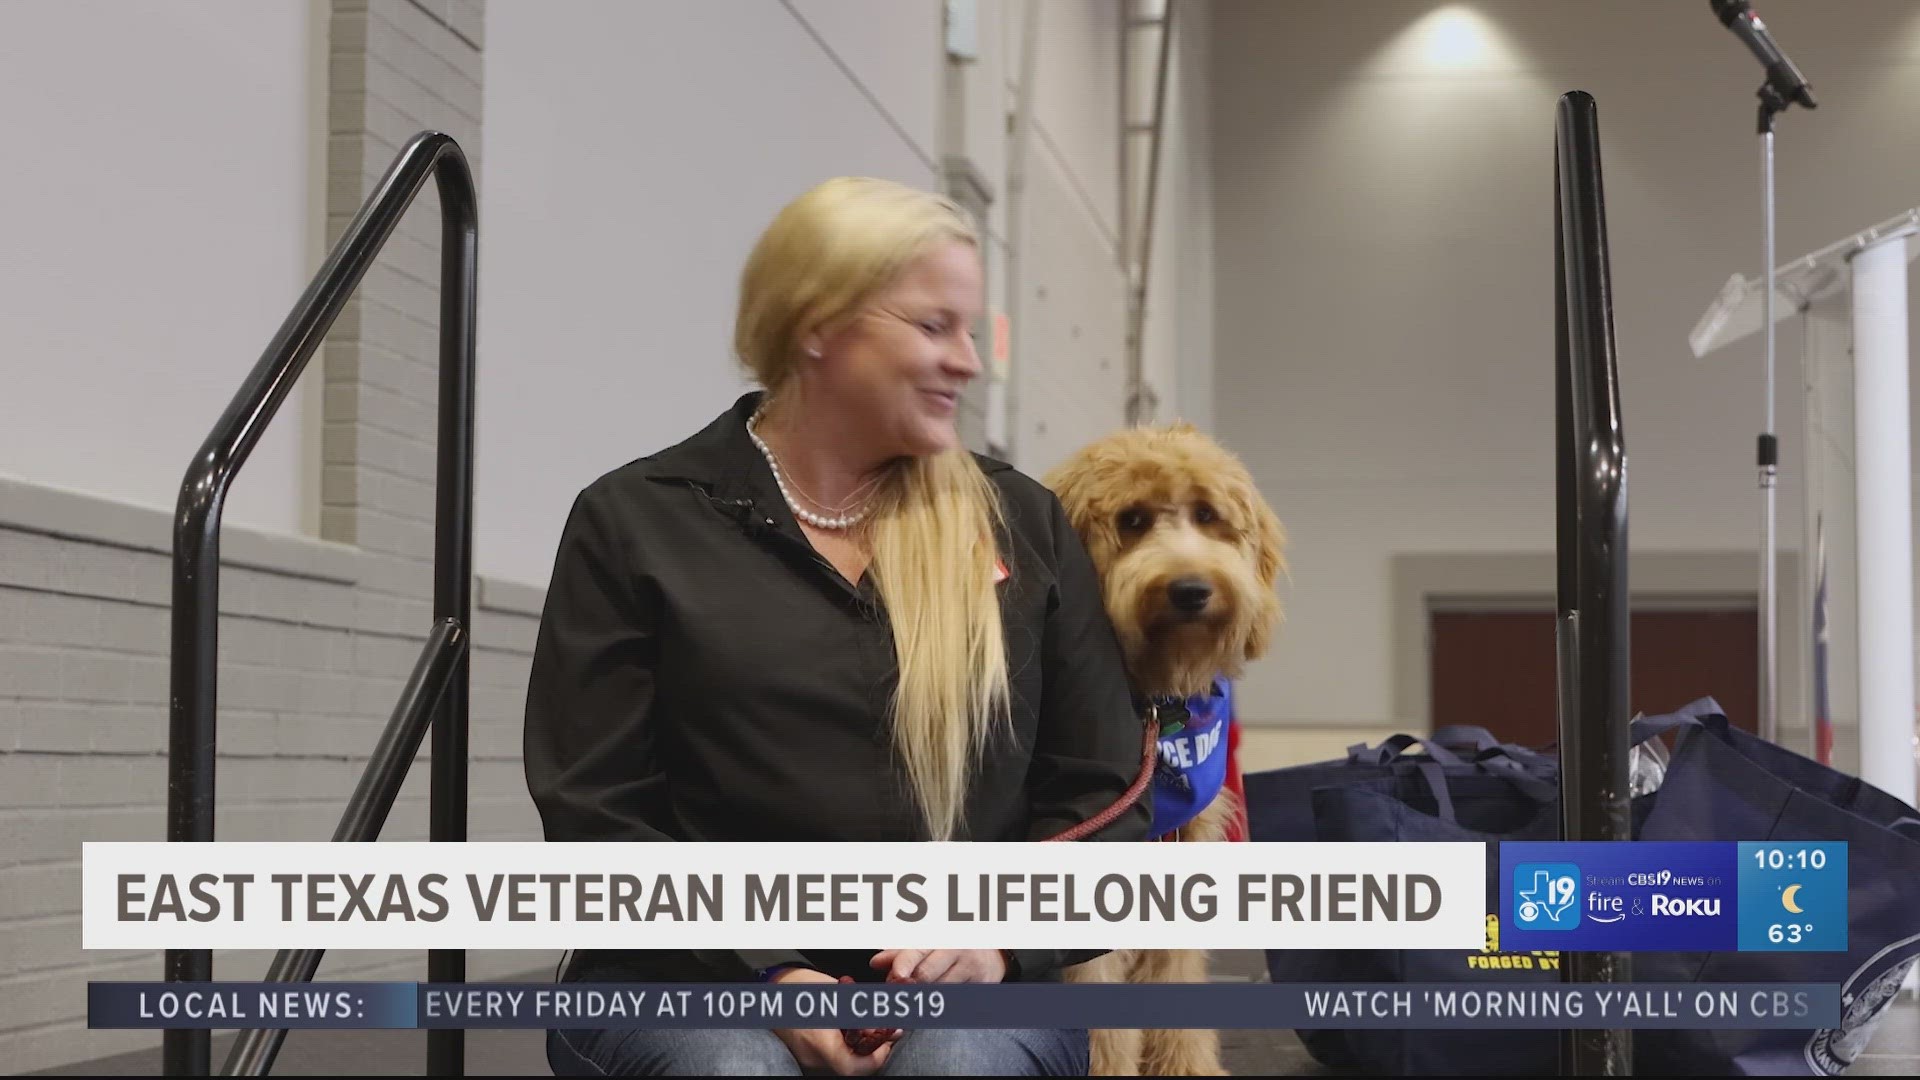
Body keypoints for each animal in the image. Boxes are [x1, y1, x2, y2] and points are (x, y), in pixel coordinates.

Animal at [1044, 424, 1282, 1068]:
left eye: (1206, 515)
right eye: (1132, 520)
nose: (1191, 589)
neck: (1153, 703)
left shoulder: (1182, 852)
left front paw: (1190, 1067)